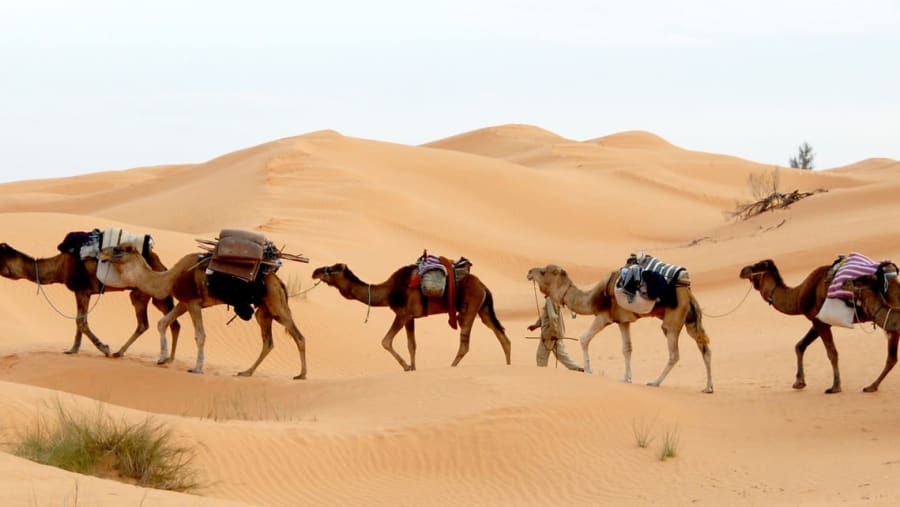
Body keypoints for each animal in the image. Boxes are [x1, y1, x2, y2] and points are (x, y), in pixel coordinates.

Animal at [0, 242, 180, 357]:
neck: (60, 267)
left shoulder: (82, 291)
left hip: (145, 292)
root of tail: (161, 265)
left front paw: (104, 348)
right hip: (148, 294)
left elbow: (80, 321)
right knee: (161, 323)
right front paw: (73, 350)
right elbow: (80, 321)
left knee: (150, 323)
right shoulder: (83, 292)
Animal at [99, 244, 308, 379]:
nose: (101, 252)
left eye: (117, 249)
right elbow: (162, 323)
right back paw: (246, 372)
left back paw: (301, 375)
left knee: (298, 336)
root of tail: (278, 281)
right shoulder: (183, 303)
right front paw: (162, 358)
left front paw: (197, 368)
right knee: (268, 342)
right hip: (263, 311)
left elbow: (200, 335)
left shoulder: (193, 303)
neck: (169, 278)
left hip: (276, 304)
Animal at [311, 263, 512, 370]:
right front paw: (413, 368)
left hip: (469, 309)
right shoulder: (411, 317)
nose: (315, 271)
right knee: (502, 337)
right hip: (483, 309)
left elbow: (386, 341)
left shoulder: (402, 314)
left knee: (465, 344)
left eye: (333, 269)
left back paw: (451, 367)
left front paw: (407, 367)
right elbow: (412, 345)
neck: (388, 292)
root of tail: (484, 286)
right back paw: (508, 366)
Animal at [527, 264, 713, 393]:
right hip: (690, 319)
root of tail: (688, 291)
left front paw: (588, 370)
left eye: (543, 272)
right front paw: (626, 378)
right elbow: (627, 348)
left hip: (673, 320)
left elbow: (584, 338)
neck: (592, 298)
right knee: (704, 348)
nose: (529, 272)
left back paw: (654, 382)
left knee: (674, 353)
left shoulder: (604, 317)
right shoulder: (623, 321)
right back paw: (708, 387)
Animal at [739, 259, 900, 393]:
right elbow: (800, 345)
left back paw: (871, 386)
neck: (798, 295)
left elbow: (832, 353)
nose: (742, 270)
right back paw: (872, 386)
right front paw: (799, 382)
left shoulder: (819, 321)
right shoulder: (819, 321)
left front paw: (835, 387)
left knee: (891, 357)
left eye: (756, 266)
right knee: (892, 358)